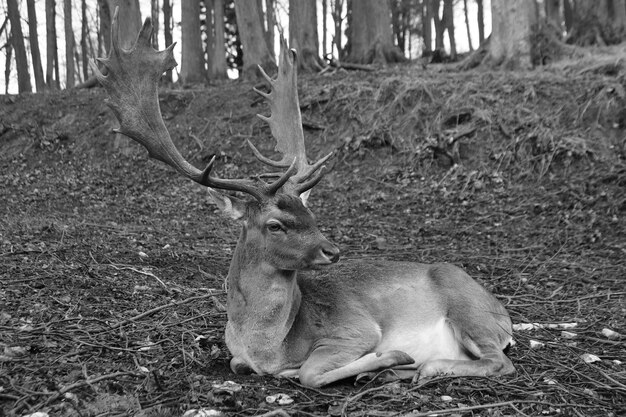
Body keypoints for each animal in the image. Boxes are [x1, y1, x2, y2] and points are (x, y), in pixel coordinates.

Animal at [92, 8, 512, 386]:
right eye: (276, 224)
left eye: (311, 216)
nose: (333, 250)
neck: (268, 345)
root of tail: (504, 316)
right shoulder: (239, 356)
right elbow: (238, 365)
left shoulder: (356, 329)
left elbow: (310, 372)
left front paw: (388, 356)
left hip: (467, 310)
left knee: (500, 361)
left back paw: (423, 366)